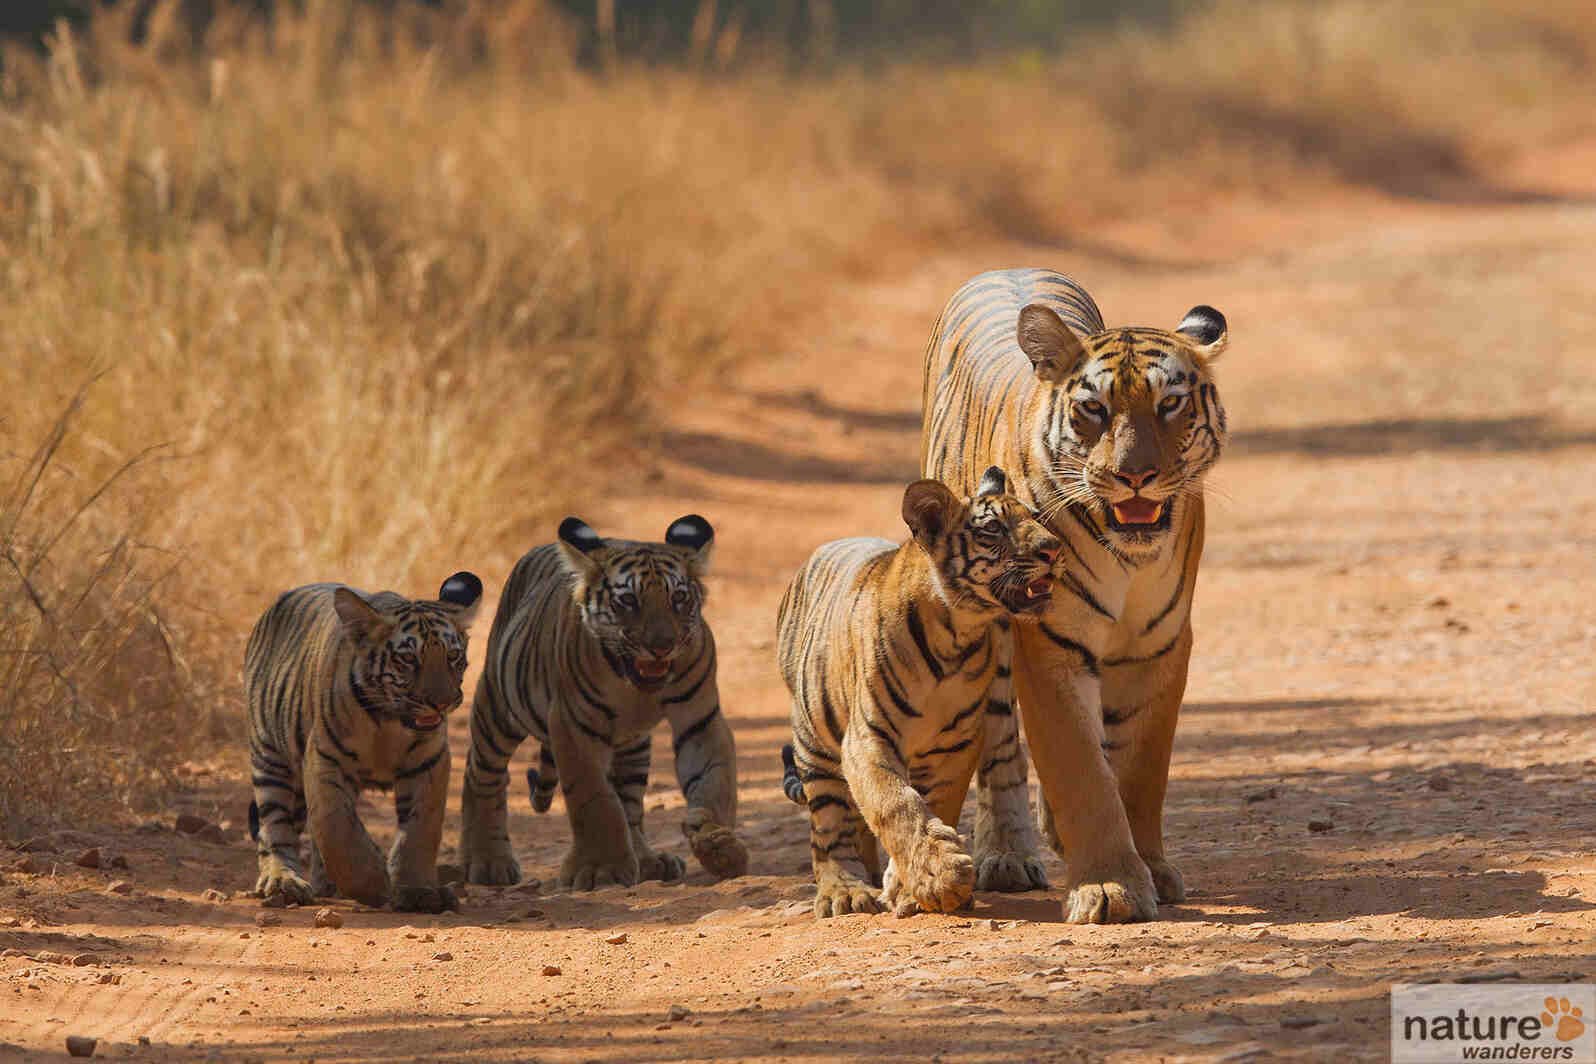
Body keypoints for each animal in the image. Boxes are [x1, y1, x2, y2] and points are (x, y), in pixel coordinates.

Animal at [245, 574, 481, 918]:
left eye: (453, 656)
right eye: (408, 659)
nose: (442, 702)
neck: (389, 722)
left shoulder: (429, 762)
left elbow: (420, 830)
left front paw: (417, 892)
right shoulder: (325, 758)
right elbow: (336, 827)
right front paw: (371, 884)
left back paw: (324, 882)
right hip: (270, 758)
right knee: (275, 826)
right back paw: (283, 882)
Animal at [456, 516, 740, 893]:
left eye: (678, 597)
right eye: (628, 600)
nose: (662, 646)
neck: (636, 688)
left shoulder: (701, 718)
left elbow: (713, 780)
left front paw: (719, 845)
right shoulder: (574, 726)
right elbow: (595, 799)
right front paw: (601, 870)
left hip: (634, 745)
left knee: (630, 803)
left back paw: (648, 862)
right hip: (498, 708)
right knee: (481, 776)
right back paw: (488, 862)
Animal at [919, 267, 1225, 925]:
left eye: (1170, 403)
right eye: (1093, 409)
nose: (1135, 476)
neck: (1129, 558)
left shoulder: (1159, 646)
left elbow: (1138, 771)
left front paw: (1150, 869)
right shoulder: (1049, 642)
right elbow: (1080, 769)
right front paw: (1109, 887)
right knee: (1002, 745)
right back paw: (1008, 855)